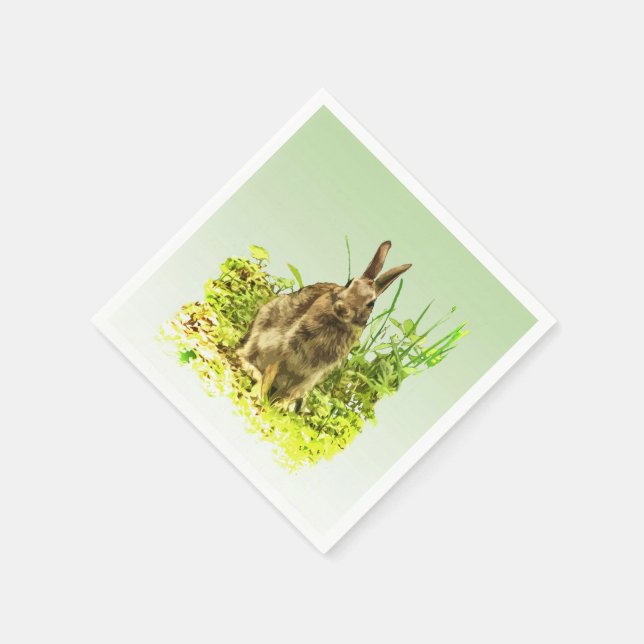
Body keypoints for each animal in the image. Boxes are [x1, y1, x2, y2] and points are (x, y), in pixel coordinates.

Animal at [237, 241, 411, 409]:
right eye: (349, 283)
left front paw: (280, 407)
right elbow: (269, 375)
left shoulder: (313, 374)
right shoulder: (282, 351)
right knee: (244, 353)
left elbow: (292, 392)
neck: (336, 323)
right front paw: (262, 399)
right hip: (260, 327)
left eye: (371, 303)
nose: (342, 308)